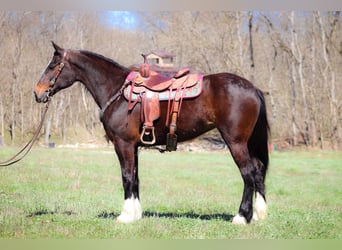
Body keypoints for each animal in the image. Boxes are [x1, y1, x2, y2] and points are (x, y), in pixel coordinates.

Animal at [34, 42, 270, 226]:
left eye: (53, 65)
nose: (37, 93)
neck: (117, 91)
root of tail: (253, 88)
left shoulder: (123, 144)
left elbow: (127, 177)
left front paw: (125, 215)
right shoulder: (134, 147)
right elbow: (135, 178)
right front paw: (136, 214)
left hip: (236, 142)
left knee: (248, 173)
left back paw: (242, 217)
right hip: (248, 143)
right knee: (258, 171)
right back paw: (259, 213)